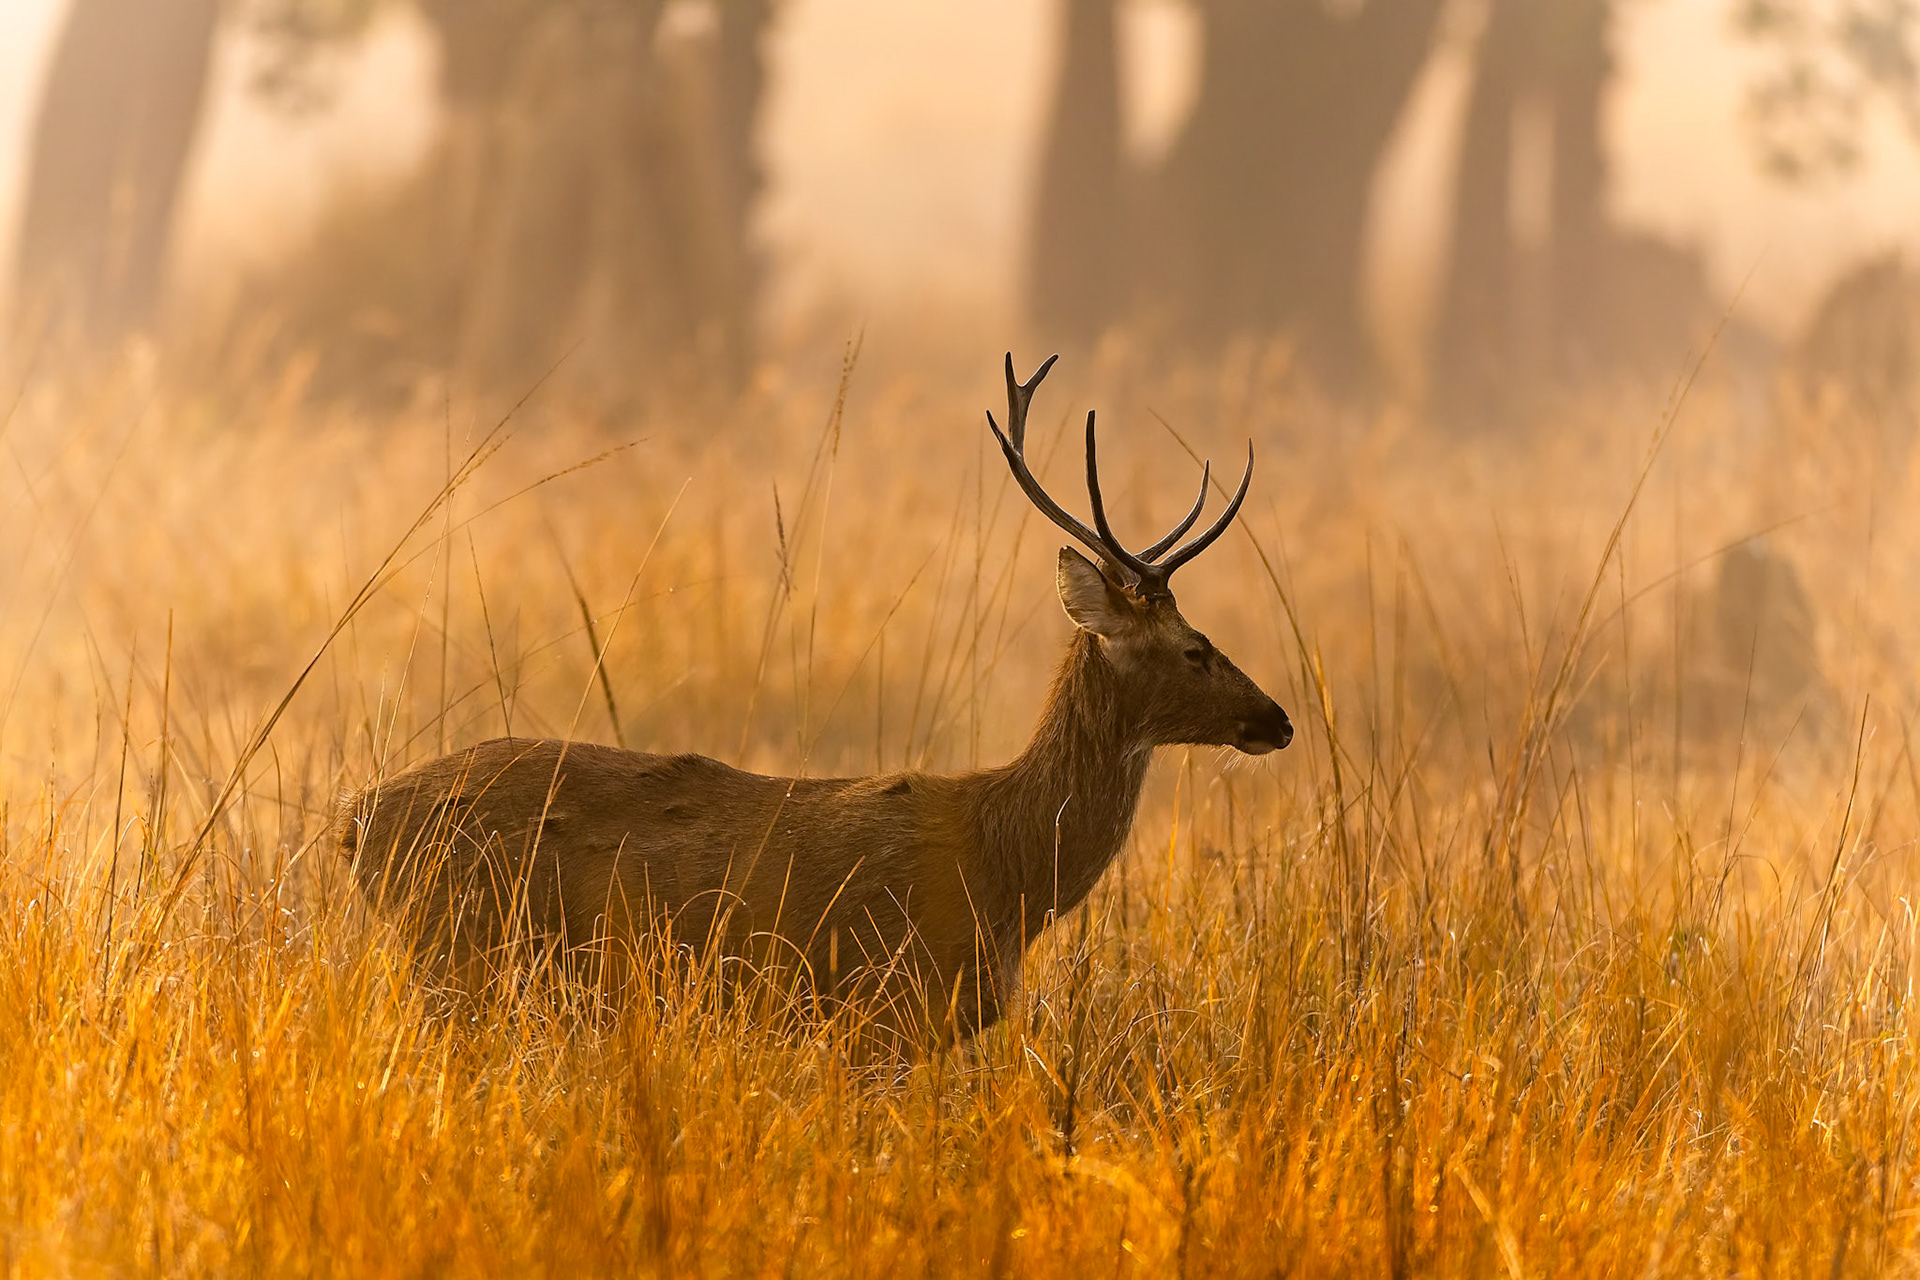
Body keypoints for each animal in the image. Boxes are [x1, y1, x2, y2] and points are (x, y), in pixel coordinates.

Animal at [338, 355, 1292, 1041]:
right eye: (1195, 648)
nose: (1278, 720)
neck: (1006, 863)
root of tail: (354, 822)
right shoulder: (884, 1003)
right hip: (462, 959)